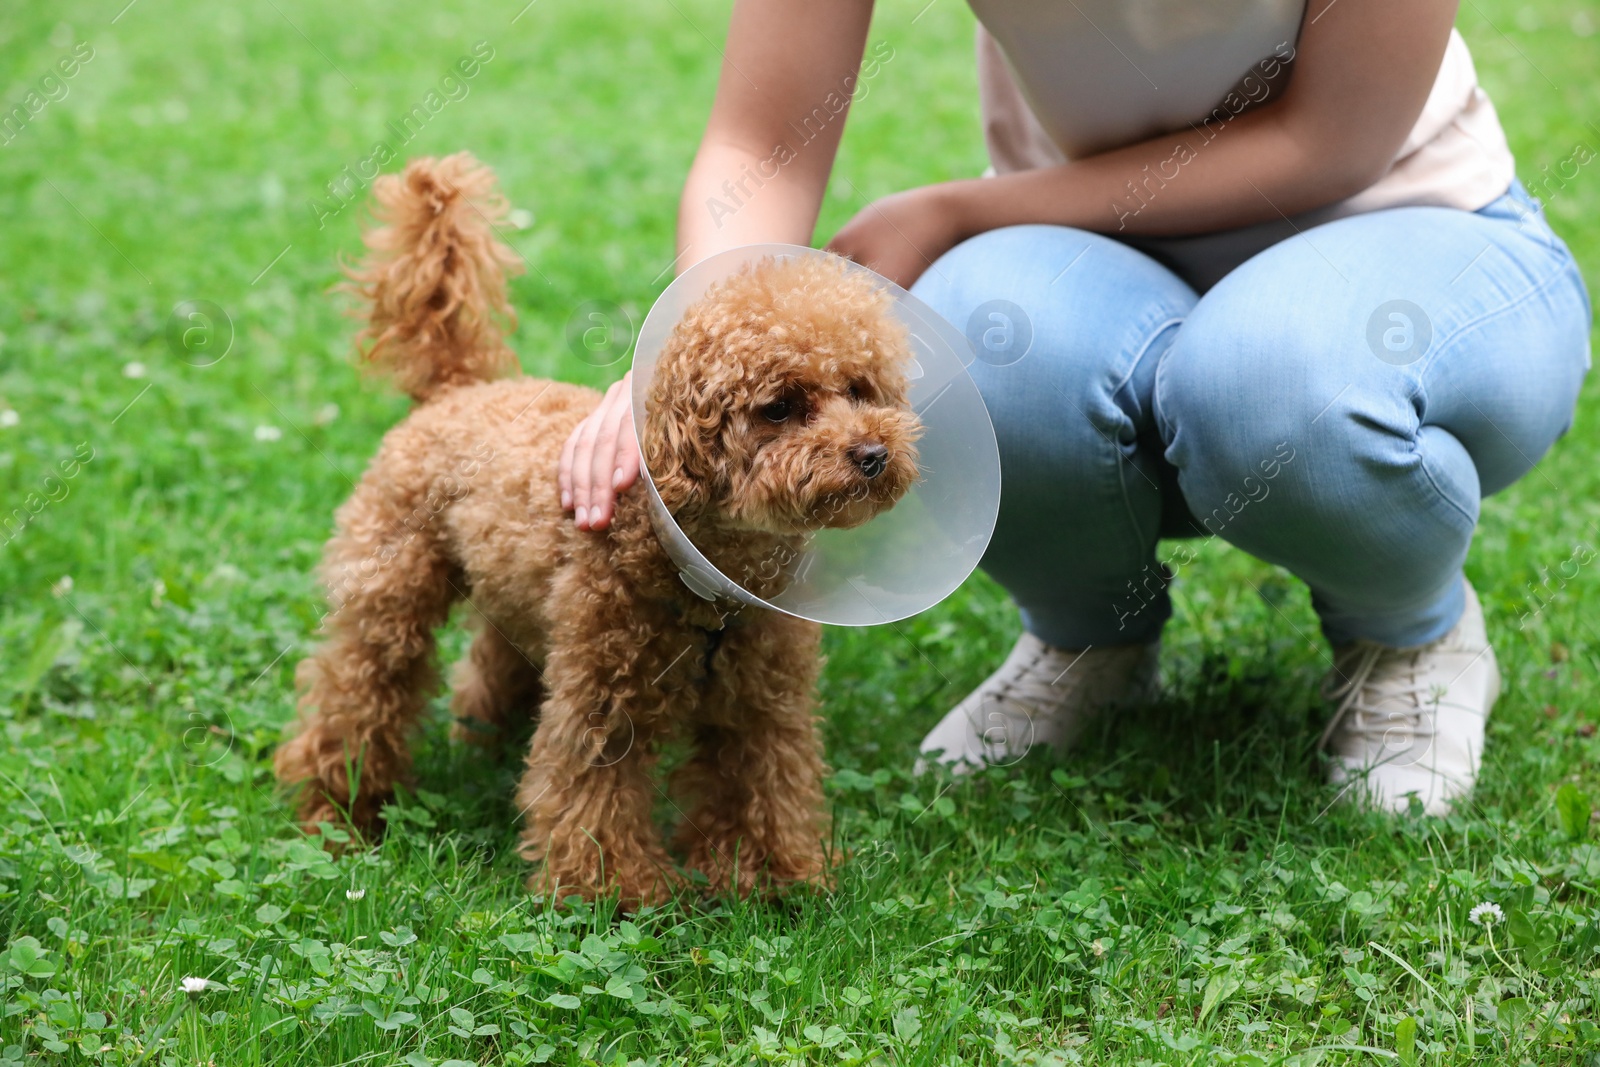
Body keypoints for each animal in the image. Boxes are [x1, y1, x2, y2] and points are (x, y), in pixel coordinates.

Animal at [272, 154, 928, 908]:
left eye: (859, 389)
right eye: (780, 407)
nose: (872, 454)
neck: (710, 582)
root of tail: (458, 388)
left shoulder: (762, 701)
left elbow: (763, 777)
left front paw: (770, 874)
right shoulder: (604, 696)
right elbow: (595, 790)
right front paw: (616, 891)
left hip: (524, 598)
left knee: (491, 658)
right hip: (392, 590)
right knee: (358, 692)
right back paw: (338, 806)